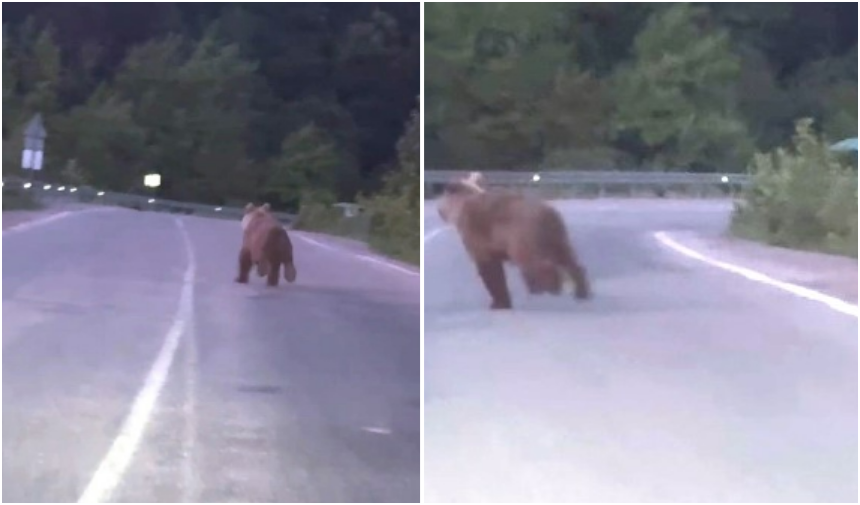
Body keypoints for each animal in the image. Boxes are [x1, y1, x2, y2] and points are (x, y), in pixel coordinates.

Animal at [436, 171, 592, 310]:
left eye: (442, 197)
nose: (439, 211)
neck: (462, 206)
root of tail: (549, 214)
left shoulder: (478, 235)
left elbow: (489, 270)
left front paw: (498, 303)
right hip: (556, 236)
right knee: (568, 259)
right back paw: (581, 292)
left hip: (524, 235)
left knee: (537, 264)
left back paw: (550, 290)